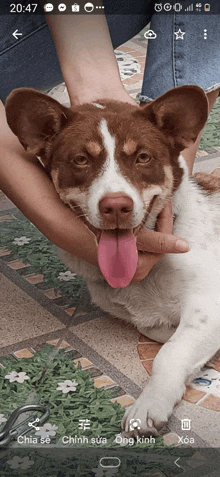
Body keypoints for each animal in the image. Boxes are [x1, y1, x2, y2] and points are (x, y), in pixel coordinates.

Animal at [6, 84, 220, 436]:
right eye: (80, 160)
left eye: (143, 157)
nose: (116, 206)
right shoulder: (155, 322)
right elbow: (165, 339)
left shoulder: (207, 305)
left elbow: (169, 353)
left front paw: (149, 403)